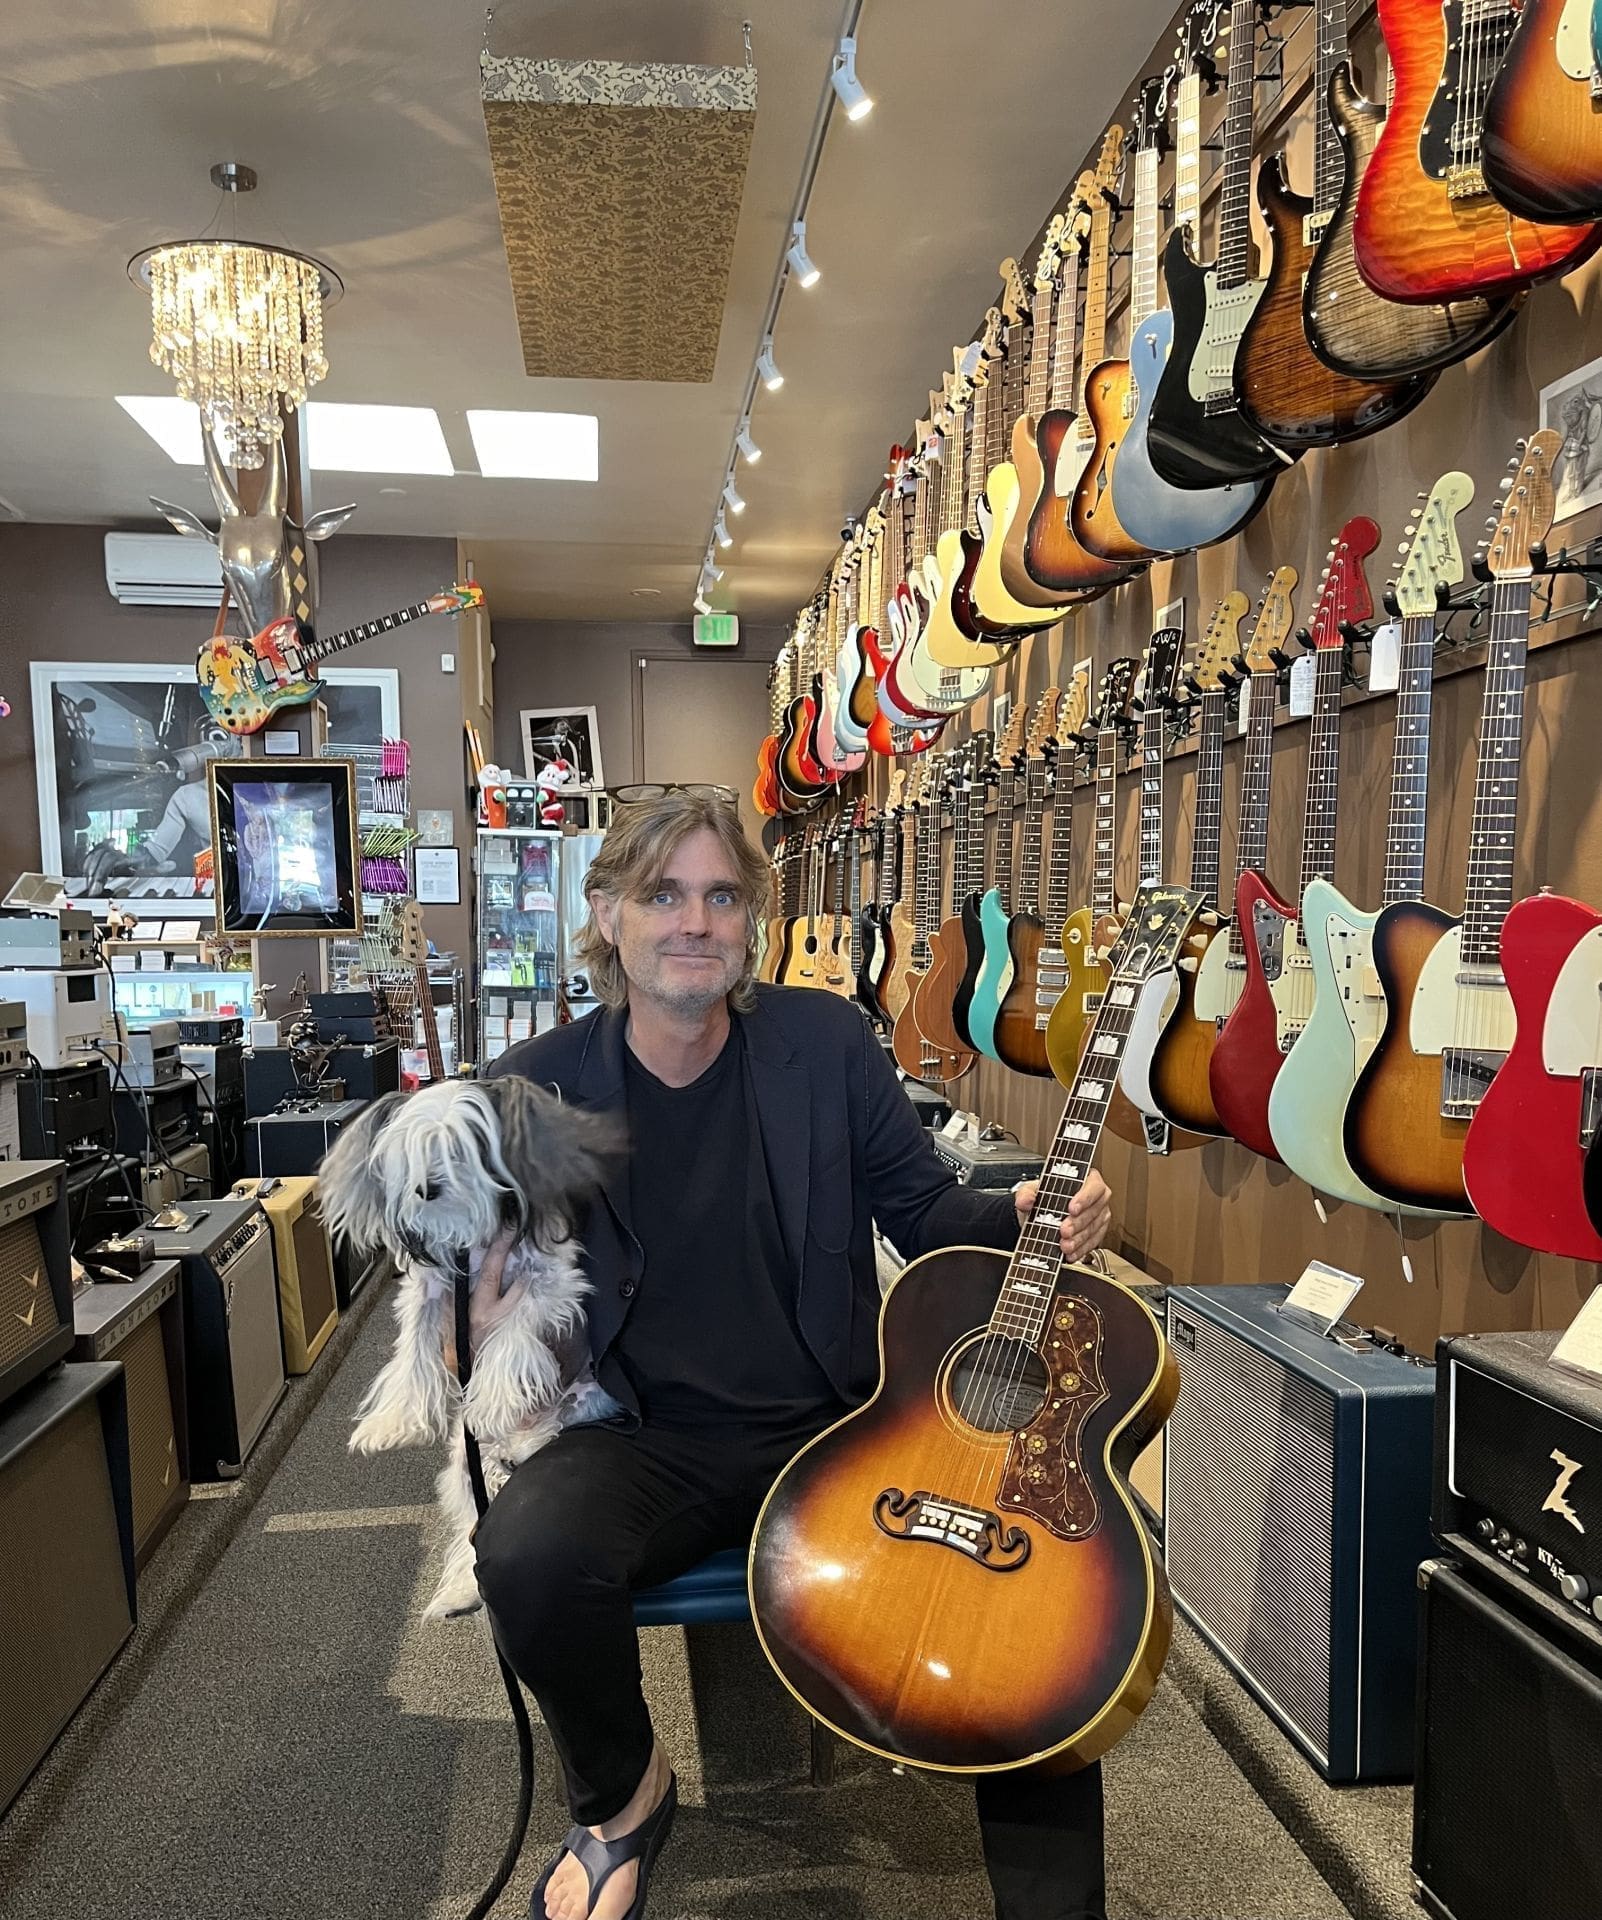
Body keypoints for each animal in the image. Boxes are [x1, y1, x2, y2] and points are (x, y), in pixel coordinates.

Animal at [318, 1075, 620, 1617]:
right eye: (413, 1152)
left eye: (459, 1148)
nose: (425, 1188)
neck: (471, 1246)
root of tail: (510, 1453)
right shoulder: (429, 1295)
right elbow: (410, 1358)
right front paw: (391, 1423)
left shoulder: (548, 1286)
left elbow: (510, 1339)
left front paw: (494, 1401)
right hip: (464, 1465)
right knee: (469, 1527)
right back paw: (460, 1589)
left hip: (570, 1415)